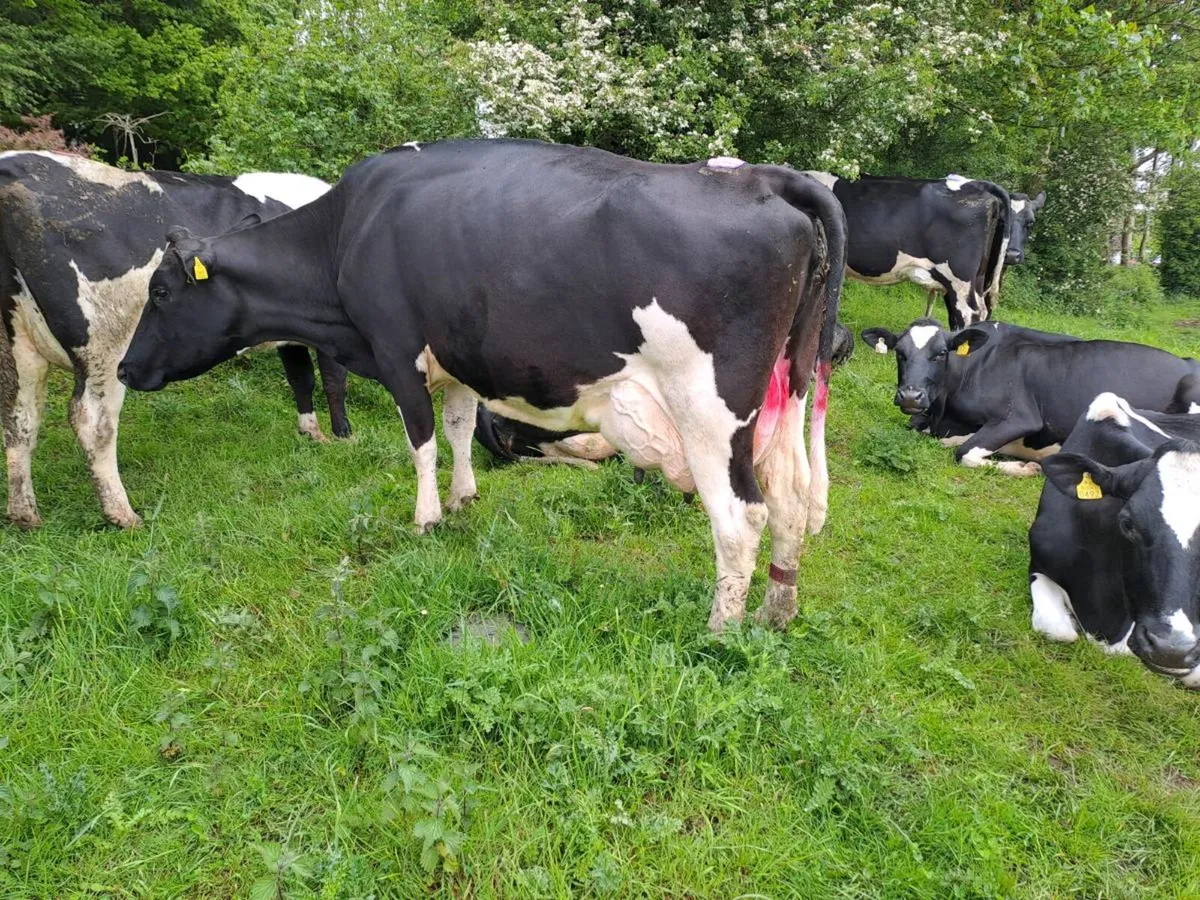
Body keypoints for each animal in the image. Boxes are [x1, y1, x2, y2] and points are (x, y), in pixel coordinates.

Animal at [0, 151, 350, 529]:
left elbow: (302, 378)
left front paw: (311, 433)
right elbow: (334, 381)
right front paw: (343, 436)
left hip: (21, 344)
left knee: (21, 416)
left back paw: (24, 514)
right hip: (104, 345)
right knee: (92, 420)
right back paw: (123, 514)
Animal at [117, 139, 847, 633]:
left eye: (160, 291)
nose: (124, 369)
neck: (346, 230)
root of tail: (766, 178)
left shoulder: (396, 349)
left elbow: (420, 439)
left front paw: (427, 518)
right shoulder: (462, 354)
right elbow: (461, 427)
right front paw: (464, 499)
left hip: (709, 407)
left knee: (740, 514)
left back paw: (720, 628)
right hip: (785, 387)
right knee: (790, 496)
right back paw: (778, 609)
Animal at [802, 173, 1043, 328]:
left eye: (1031, 223)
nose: (1014, 254)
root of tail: (980, 186)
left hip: (960, 278)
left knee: (969, 315)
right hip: (977, 279)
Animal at [860, 318, 1200, 476]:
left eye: (941, 353)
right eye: (899, 353)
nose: (911, 395)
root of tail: (1187, 361)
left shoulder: (1019, 417)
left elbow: (965, 453)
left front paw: (1024, 468)